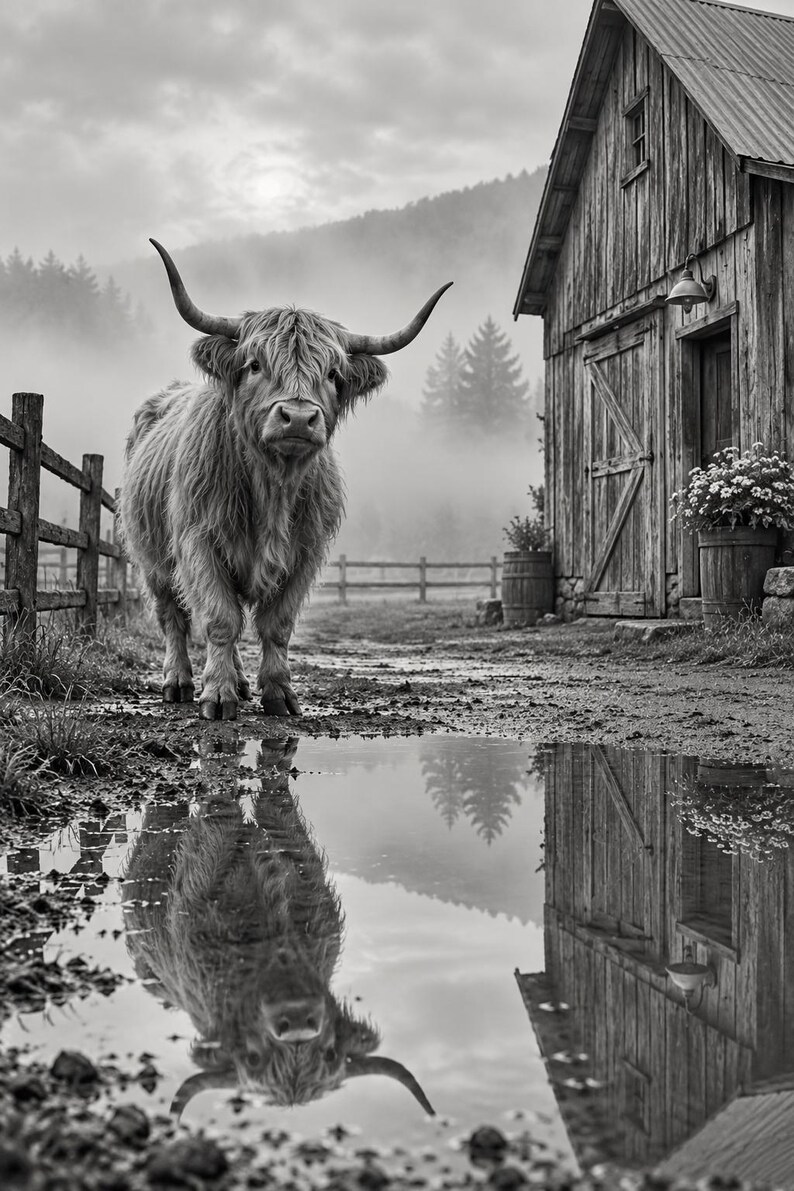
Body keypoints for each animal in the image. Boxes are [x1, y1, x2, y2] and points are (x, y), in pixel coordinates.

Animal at [120, 241, 451, 720]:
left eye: (333, 374)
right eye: (255, 364)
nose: (297, 417)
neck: (272, 488)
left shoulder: (305, 551)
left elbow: (276, 625)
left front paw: (277, 692)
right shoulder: (198, 541)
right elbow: (219, 620)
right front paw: (217, 696)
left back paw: (239, 682)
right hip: (151, 560)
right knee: (174, 619)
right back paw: (179, 682)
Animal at [122, 734, 434, 1117]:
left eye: (331, 1054)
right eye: (252, 1058)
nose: (297, 1022)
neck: (274, 950)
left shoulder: (298, 857)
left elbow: (276, 798)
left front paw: (279, 748)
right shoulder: (208, 858)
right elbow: (221, 801)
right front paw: (221, 754)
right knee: (164, 812)